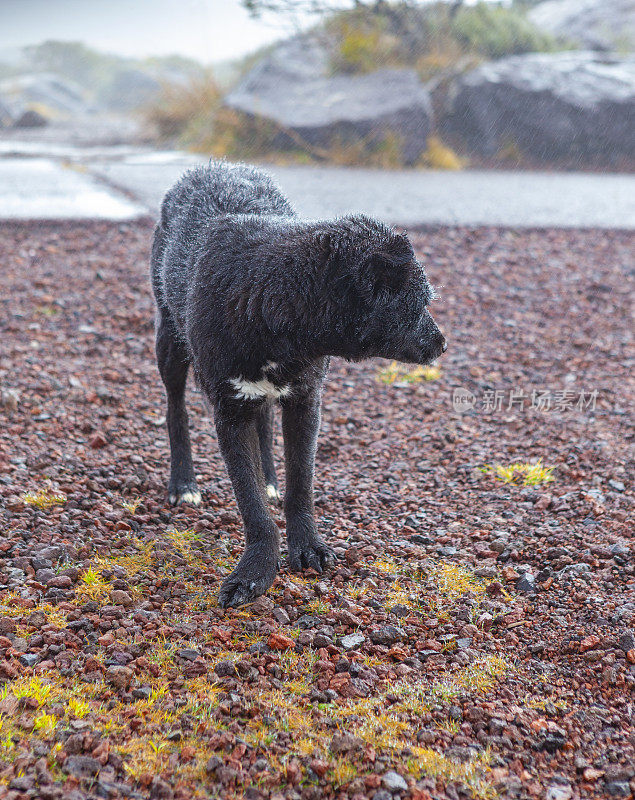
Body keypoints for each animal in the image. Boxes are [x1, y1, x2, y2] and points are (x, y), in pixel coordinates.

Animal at [150, 161, 448, 608]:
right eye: (421, 304)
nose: (444, 344)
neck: (268, 295)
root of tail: (212, 166)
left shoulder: (305, 402)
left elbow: (300, 484)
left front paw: (308, 546)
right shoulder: (229, 412)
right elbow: (251, 505)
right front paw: (255, 572)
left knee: (265, 424)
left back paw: (269, 479)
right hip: (169, 343)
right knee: (176, 410)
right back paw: (183, 483)